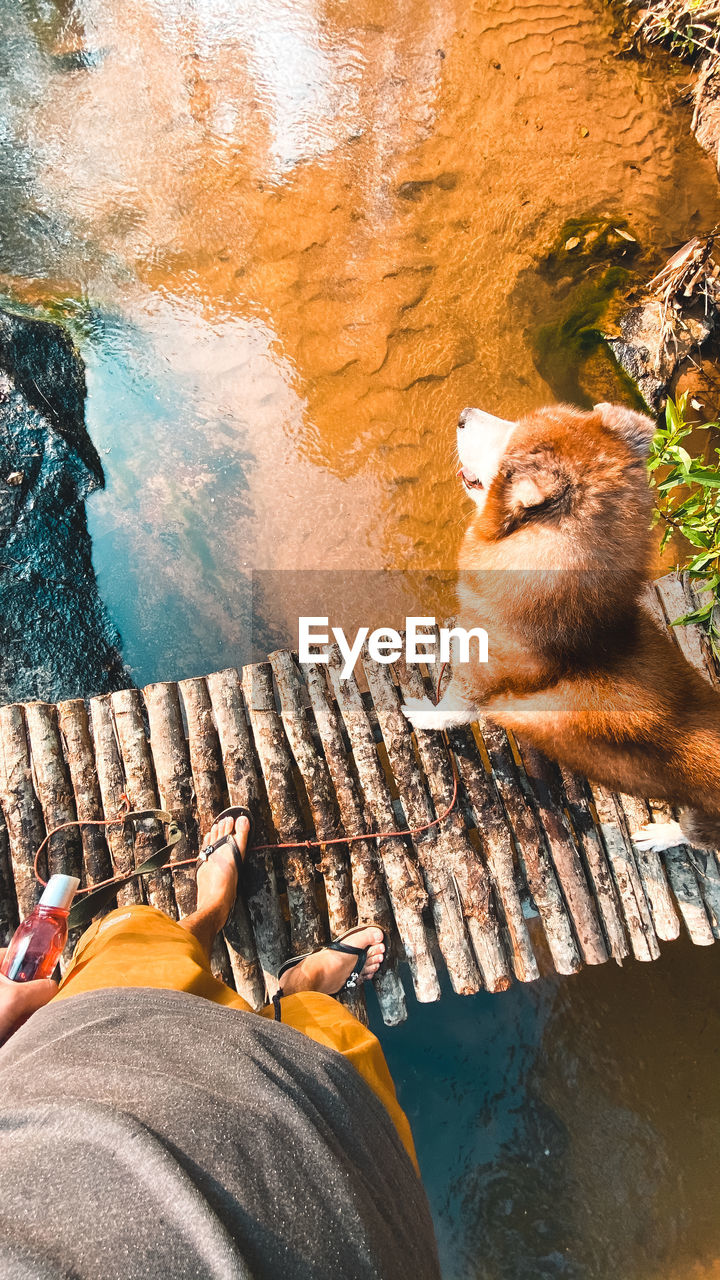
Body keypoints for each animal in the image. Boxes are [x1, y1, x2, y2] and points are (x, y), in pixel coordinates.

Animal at [399, 404, 717, 855]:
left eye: (507, 443)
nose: (463, 413)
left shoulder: (476, 679)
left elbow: (449, 712)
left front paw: (421, 713)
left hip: (704, 818)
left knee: (695, 837)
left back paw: (660, 835)